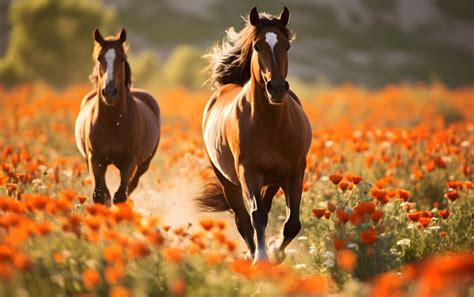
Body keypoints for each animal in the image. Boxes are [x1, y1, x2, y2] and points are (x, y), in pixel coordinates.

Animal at [75, 28, 161, 205]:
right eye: (100, 58)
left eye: (121, 58)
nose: (109, 92)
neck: (113, 122)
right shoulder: (95, 160)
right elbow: (100, 195)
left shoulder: (129, 162)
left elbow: (120, 196)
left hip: (144, 163)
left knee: (132, 185)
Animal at [198, 6, 312, 262]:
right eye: (258, 46)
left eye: (287, 46)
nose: (277, 88)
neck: (270, 126)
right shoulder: (247, 172)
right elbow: (256, 216)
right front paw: (261, 259)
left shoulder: (294, 172)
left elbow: (292, 223)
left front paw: (276, 252)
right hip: (228, 181)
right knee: (243, 219)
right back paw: (251, 254)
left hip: (274, 179)